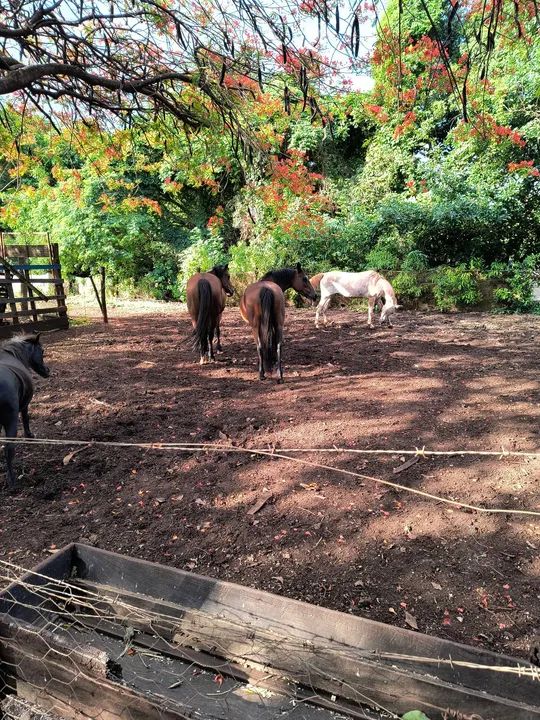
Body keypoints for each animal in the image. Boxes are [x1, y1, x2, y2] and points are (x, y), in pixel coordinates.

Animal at [0, 334, 50, 491]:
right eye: (42, 350)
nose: (47, 370)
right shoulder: (25, 406)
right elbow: (26, 418)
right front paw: (29, 435)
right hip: (11, 421)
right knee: (9, 449)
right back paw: (12, 480)